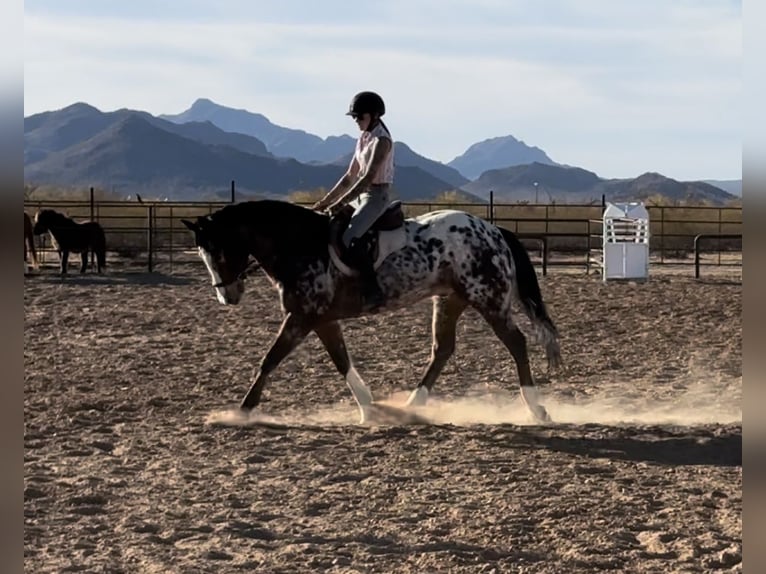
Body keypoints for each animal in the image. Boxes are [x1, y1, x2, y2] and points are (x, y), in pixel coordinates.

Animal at [182, 200, 564, 426]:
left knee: (516, 343)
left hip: (489, 299)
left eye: (218, 251)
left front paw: (241, 411)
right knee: (443, 350)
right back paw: (411, 404)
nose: (227, 296)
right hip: (450, 301)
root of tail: (494, 230)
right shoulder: (321, 320)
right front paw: (369, 408)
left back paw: (536, 408)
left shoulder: (302, 317)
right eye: (202, 253)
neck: (299, 244)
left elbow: (270, 359)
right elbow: (341, 361)